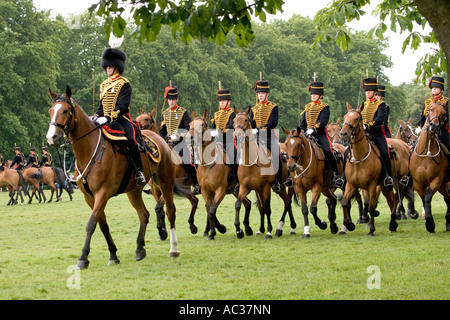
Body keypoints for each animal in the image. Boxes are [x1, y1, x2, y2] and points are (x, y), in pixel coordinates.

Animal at [45, 86, 186, 268]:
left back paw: (173, 249)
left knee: (170, 211)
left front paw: (83, 258)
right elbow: (102, 224)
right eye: (51, 111)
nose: (51, 138)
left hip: (165, 182)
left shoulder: (103, 193)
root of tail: (163, 142)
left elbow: (91, 224)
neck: (90, 150)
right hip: (134, 190)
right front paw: (113, 254)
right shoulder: (90, 197)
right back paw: (140, 249)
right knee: (144, 214)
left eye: (65, 110)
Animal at [340, 102, 414, 235]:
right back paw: (393, 224)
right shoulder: (351, 185)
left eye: (357, 118)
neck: (359, 158)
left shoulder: (372, 185)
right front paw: (349, 225)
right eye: (345, 117)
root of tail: (404, 146)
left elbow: (371, 205)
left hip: (398, 182)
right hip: (385, 185)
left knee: (396, 199)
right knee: (391, 201)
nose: (343, 133)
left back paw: (393, 222)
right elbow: (345, 202)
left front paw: (371, 229)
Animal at [410, 101, 448, 231]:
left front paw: (430, 224)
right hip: (442, 185)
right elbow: (423, 199)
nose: (434, 126)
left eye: (443, 114)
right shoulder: (418, 183)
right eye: (430, 110)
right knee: (448, 198)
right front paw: (428, 221)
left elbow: (427, 198)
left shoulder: (436, 180)